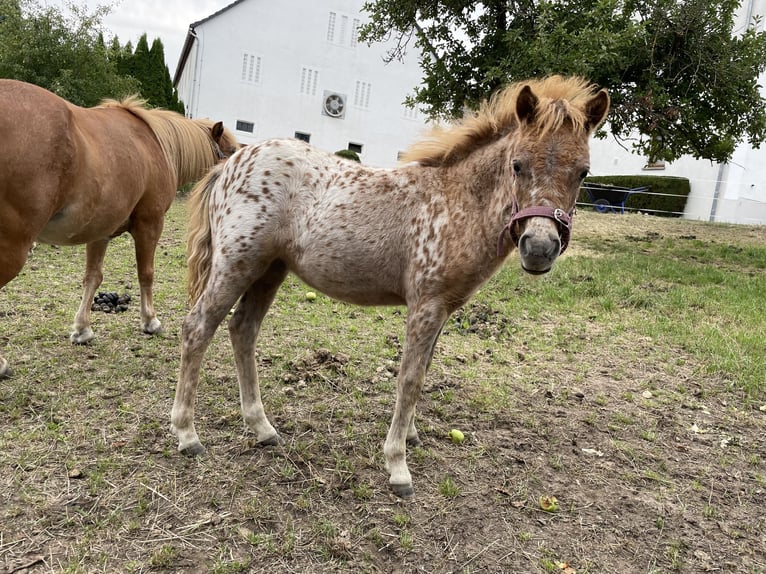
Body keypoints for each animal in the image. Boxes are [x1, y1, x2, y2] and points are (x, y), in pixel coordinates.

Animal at [0, 80, 238, 378]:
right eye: (232, 152)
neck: (154, 144)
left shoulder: (99, 231)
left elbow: (92, 277)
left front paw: (82, 329)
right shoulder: (150, 223)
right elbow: (146, 273)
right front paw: (150, 321)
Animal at [171, 75, 608, 500]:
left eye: (584, 172)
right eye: (518, 165)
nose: (539, 248)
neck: (456, 201)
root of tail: (229, 164)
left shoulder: (443, 309)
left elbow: (424, 370)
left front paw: (410, 435)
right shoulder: (426, 305)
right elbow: (409, 378)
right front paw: (398, 466)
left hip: (269, 270)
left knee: (242, 329)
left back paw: (263, 429)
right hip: (236, 264)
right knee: (198, 328)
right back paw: (187, 435)